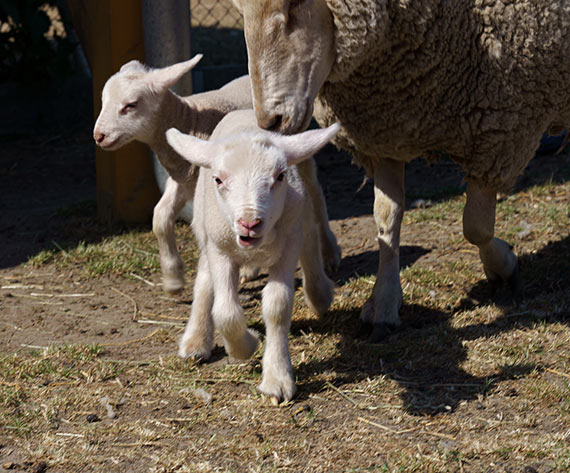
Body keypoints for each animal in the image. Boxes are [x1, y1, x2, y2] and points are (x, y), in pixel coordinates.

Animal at [92, 54, 250, 292]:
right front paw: (173, 276)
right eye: (103, 101)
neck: (190, 120)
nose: (98, 136)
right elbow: (160, 217)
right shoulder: (181, 180)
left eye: (131, 105)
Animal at [164, 109, 338, 398]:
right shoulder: (220, 250)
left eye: (279, 177)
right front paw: (246, 346)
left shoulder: (288, 245)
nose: (249, 223)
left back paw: (320, 294)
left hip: (300, 214)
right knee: (204, 280)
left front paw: (277, 380)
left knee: (311, 242)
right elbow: (225, 311)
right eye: (219, 179)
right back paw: (195, 341)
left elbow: (278, 305)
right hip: (206, 228)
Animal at [231, 0, 568, 340]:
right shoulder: (386, 128)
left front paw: (503, 266)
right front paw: (384, 302)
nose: (270, 122)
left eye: (295, 6)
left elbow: (476, 227)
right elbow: (386, 219)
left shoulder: (501, 126)